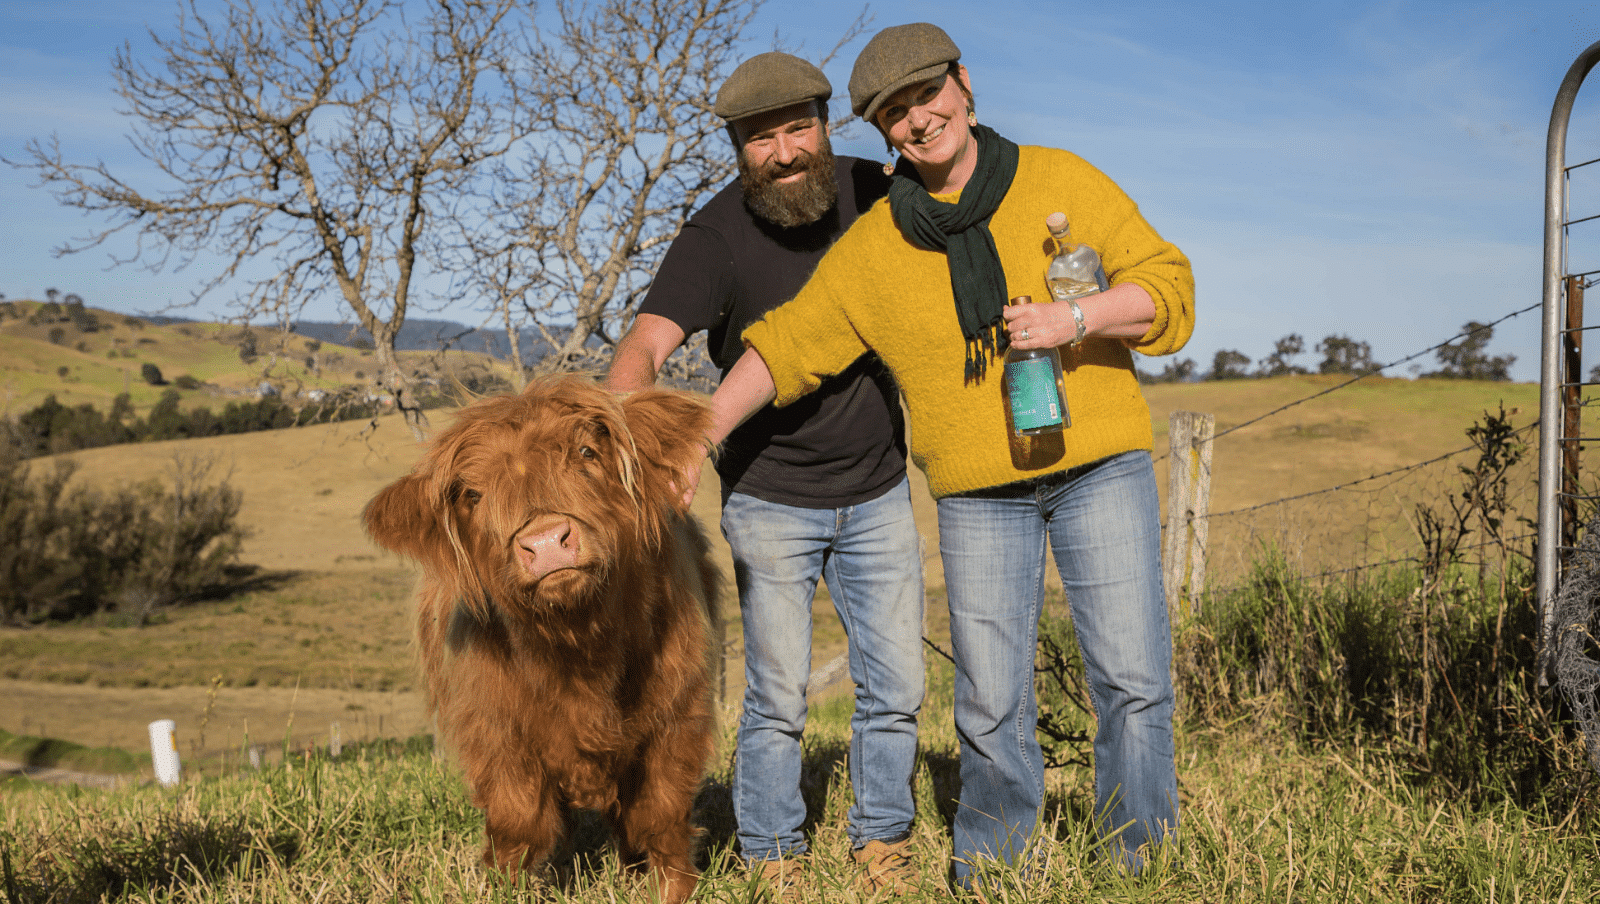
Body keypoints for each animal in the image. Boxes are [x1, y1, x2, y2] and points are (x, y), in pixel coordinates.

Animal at [366, 374, 716, 902]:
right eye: (472, 493)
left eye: (587, 452)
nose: (547, 541)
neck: (579, 648)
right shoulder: (494, 732)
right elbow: (518, 824)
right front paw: (505, 889)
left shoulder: (677, 715)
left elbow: (661, 815)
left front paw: (671, 890)